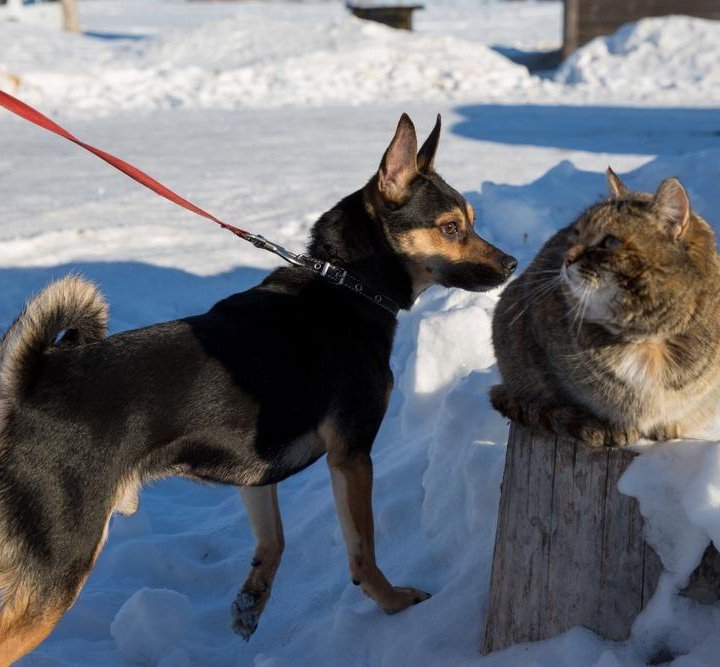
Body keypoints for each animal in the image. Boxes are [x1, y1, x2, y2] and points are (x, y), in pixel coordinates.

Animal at [0, 115, 516, 664]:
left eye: (471, 221)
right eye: (450, 227)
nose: (512, 264)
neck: (346, 285)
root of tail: (31, 386)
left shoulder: (256, 469)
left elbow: (275, 540)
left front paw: (253, 599)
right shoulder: (352, 455)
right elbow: (364, 551)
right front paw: (393, 602)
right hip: (61, 561)